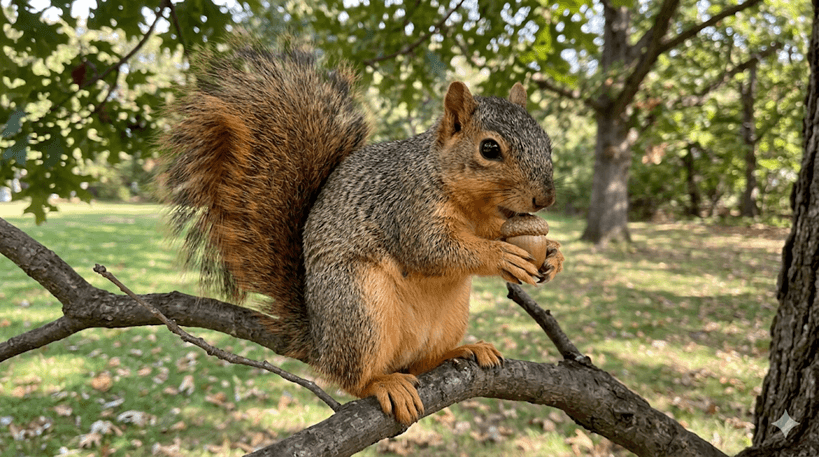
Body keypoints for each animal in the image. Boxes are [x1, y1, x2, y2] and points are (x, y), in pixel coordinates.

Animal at [159, 41, 564, 425]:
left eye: (547, 140)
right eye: (489, 148)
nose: (545, 198)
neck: (470, 202)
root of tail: (319, 342)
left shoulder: (491, 220)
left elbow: (495, 232)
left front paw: (554, 254)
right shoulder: (406, 209)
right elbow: (431, 249)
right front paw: (500, 255)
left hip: (448, 314)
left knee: (421, 362)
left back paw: (462, 350)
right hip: (357, 303)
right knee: (352, 378)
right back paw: (381, 384)